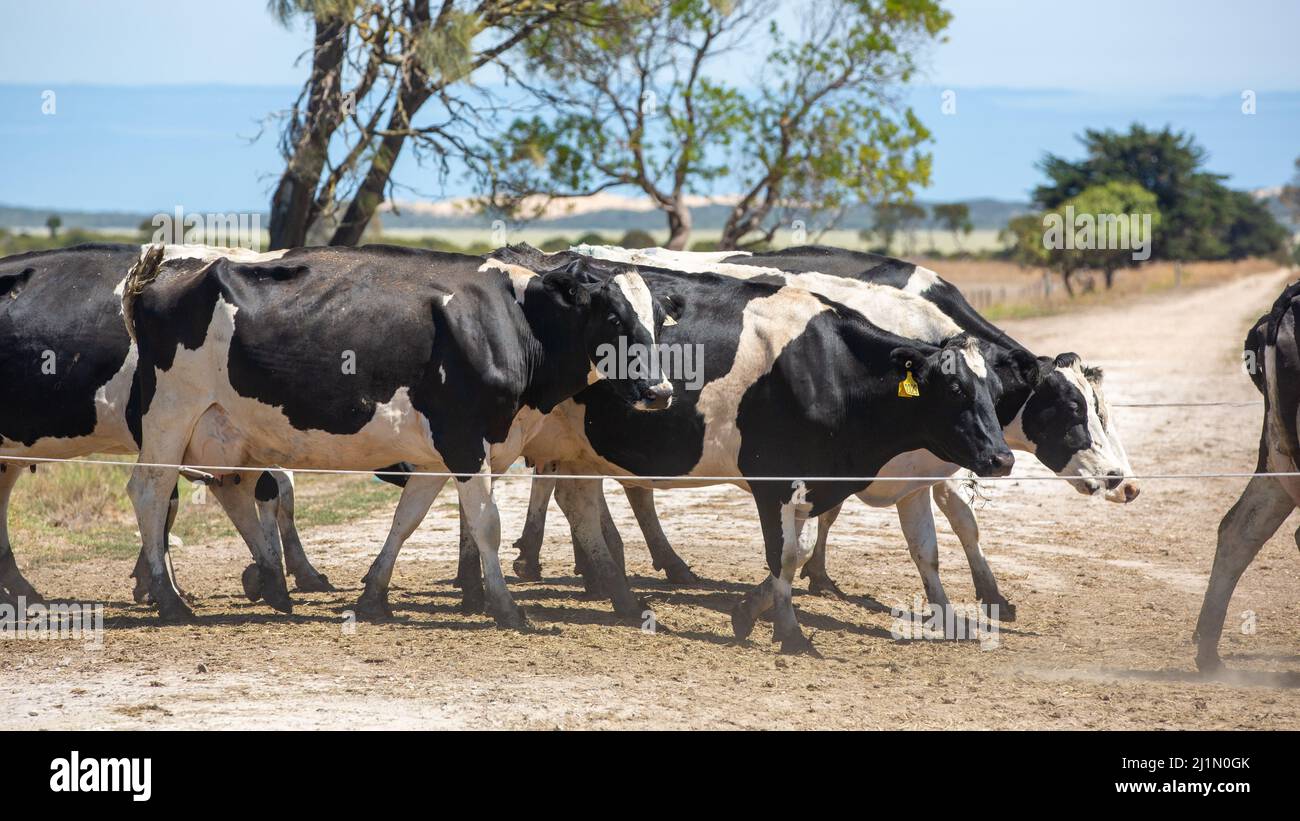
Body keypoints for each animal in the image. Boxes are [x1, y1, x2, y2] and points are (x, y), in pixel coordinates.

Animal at [119, 241, 681, 620]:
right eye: (613, 317)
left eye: (656, 321)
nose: (660, 390)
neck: (512, 321)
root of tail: (159, 279)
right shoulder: (465, 441)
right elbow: (487, 525)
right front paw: (505, 608)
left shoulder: (438, 453)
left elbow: (406, 519)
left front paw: (373, 596)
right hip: (171, 414)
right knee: (150, 490)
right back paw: (170, 599)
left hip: (228, 427)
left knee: (231, 489)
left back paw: (274, 589)